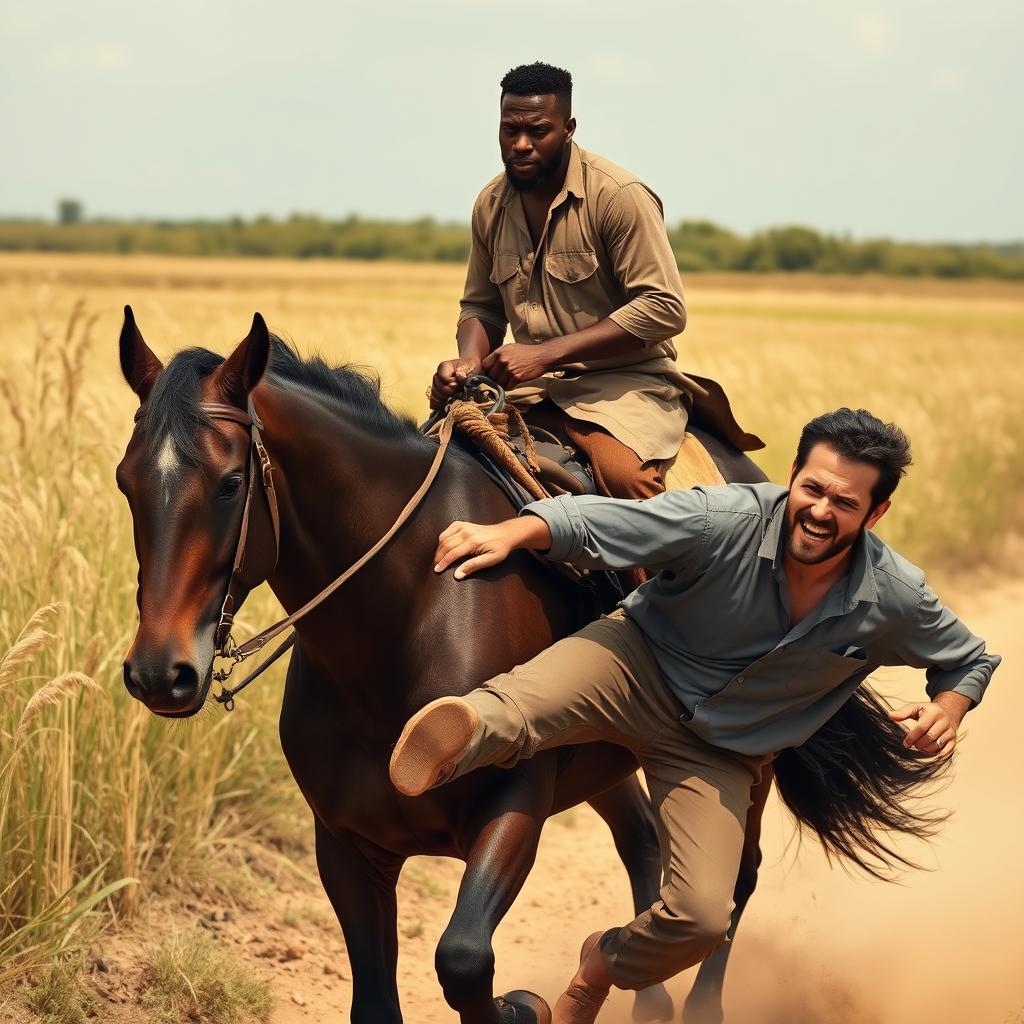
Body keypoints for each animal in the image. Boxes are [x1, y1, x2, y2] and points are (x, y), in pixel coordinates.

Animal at [116, 311, 937, 1024]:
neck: (404, 614)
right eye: (127, 481)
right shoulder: (346, 844)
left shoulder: (513, 804)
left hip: (748, 768)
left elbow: (463, 960)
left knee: (735, 879)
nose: (160, 673)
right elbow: (379, 1001)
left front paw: (522, 1007)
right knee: (645, 844)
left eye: (230, 483)